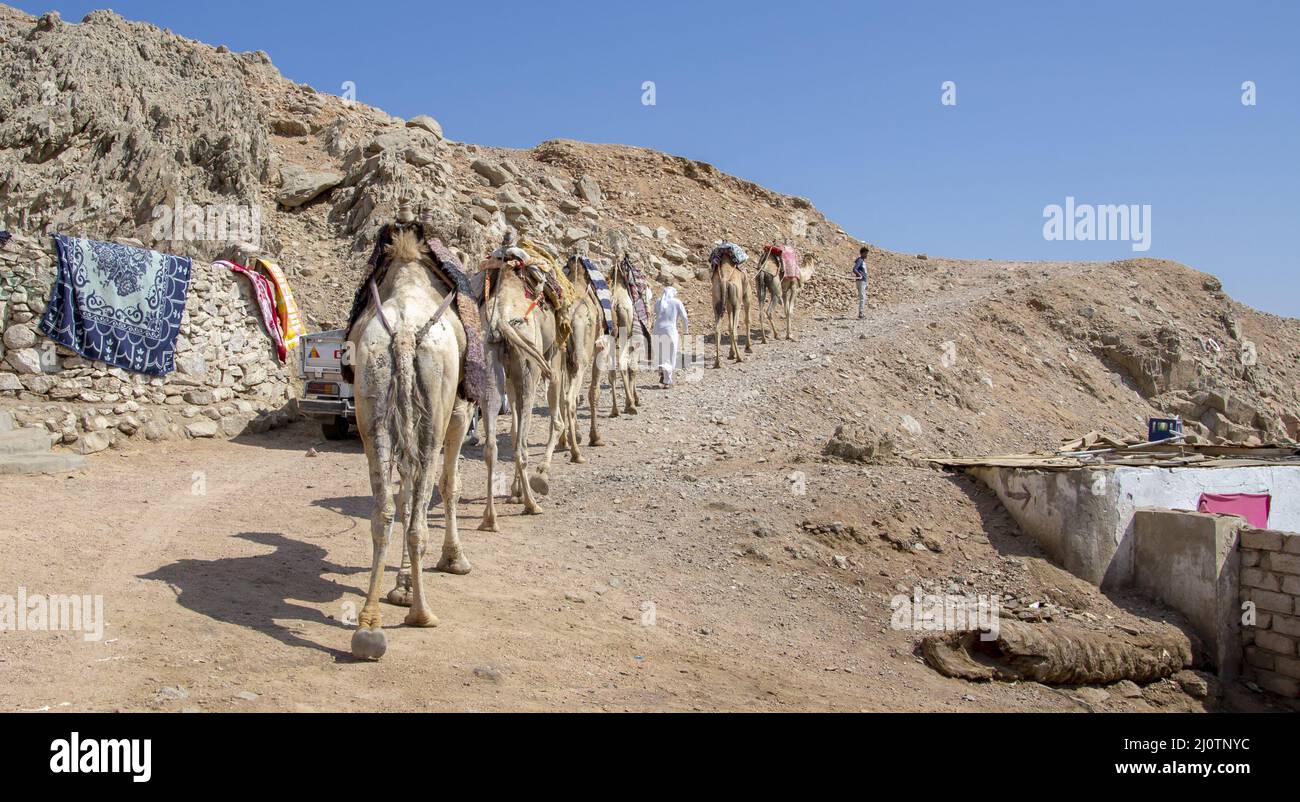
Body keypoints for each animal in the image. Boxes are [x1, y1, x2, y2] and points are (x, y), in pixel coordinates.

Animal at [347, 229, 473, 661]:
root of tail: (402, 335)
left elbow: (403, 495)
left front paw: (399, 586)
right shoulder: (459, 412)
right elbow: (449, 486)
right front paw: (455, 559)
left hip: (372, 407)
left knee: (383, 510)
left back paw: (369, 626)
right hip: (436, 411)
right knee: (418, 516)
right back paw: (422, 613)